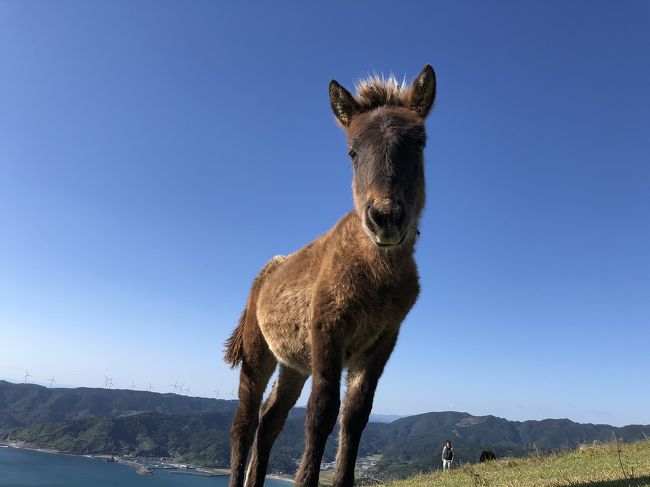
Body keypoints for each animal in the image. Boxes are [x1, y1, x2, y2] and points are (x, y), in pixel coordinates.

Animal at [224, 63, 436, 487]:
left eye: (419, 144)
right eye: (352, 152)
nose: (386, 218)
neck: (374, 274)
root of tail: (263, 276)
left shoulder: (382, 340)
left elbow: (356, 415)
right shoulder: (327, 328)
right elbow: (321, 412)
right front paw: (307, 480)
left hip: (292, 364)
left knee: (269, 420)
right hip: (258, 352)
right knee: (245, 421)